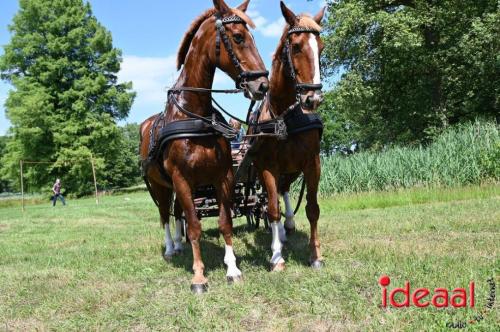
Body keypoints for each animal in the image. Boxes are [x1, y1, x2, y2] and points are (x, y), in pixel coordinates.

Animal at [139, 0, 268, 294]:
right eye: (238, 37)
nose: (262, 84)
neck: (194, 116)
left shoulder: (223, 177)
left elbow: (225, 222)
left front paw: (232, 268)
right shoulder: (181, 179)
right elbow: (195, 226)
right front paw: (199, 276)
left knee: (177, 213)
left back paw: (178, 244)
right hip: (161, 186)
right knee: (166, 215)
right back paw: (171, 248)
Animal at [252, 2, 326, 272]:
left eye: (321, 47)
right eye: (295, 46)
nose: (312, 99)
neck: (285, 117)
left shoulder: (312, 163)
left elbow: (312, 208)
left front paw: (315, 255)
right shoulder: (267, 167)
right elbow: (272, 209)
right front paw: (276, 257)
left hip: (292, 170)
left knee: (284, 190)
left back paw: (289, 226)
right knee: (269, 200)